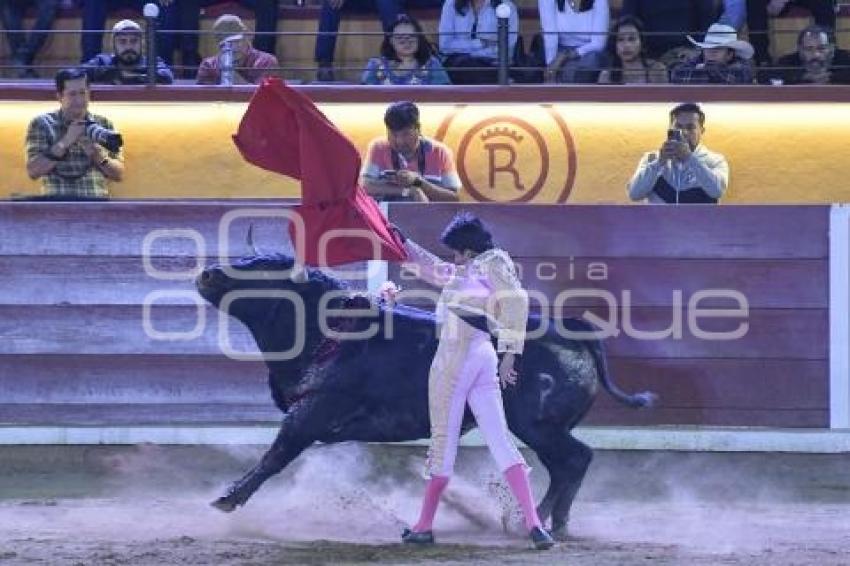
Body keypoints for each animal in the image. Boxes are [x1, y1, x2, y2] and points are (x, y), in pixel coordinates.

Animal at [195, 255, 652, 540]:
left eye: (264, 270)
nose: (208, 274)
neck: (322, 327)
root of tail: (570, 329)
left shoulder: (312, 411)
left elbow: (275, 455)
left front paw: (226, 499)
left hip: (538, 425)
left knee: (574, 460)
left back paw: (538, 521)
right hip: (541, 429)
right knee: (564, 466)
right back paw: (549, 521)